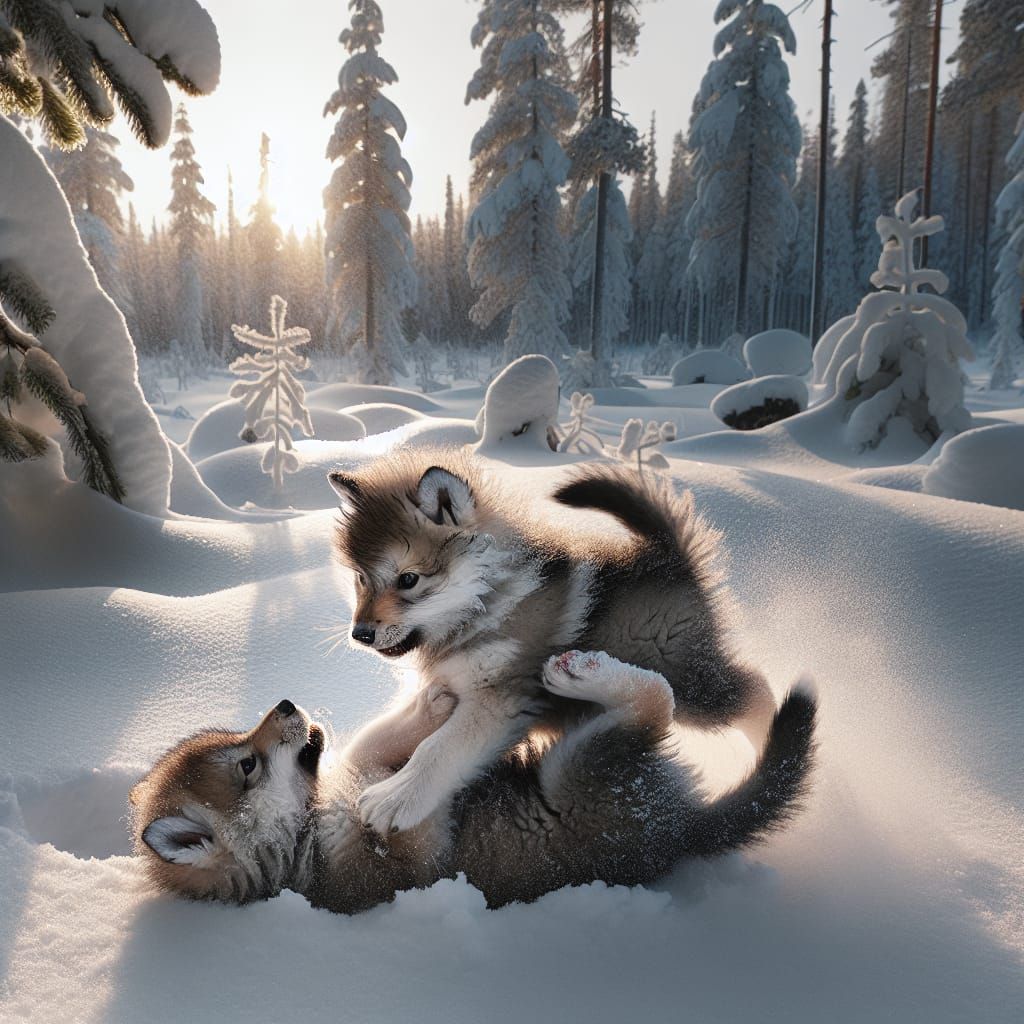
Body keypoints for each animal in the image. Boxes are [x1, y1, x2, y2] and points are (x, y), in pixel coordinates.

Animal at [131, 651, 817, 912]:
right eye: (245, 766)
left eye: (240, 742)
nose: (285, 704)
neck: (302, 841)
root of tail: (680, 831)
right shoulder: (416, 855)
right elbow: (404, 794)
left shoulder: (363, 769)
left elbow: (373, 745)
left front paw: (433, 703)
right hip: (581, 768)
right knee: (654, 702)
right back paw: (582, 673)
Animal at [326, 455, 779, 836]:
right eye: (361, 578)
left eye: (408, 579)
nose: (360, 634)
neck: (484, 602)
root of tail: (669, 558)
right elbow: (391, 732)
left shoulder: (501, 698)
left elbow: (438, 748)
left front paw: (396, 798)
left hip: (687, 685)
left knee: (754, 691)